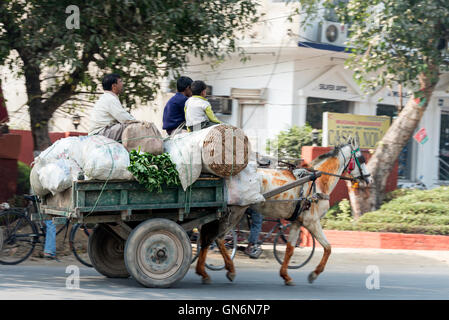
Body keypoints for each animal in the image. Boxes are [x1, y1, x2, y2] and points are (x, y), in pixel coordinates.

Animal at [194, 137, 372, 284]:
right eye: (361, 158)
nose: (369, 179)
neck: (318, 181)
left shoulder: (297, 222)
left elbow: (290, 249)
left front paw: (286, 276)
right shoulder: (312, 221)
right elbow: (328, 248)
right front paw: (314, 274)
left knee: (209, 237)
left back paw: (203, 271)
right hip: (236, 212)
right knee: (216, 238)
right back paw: (225, 270)